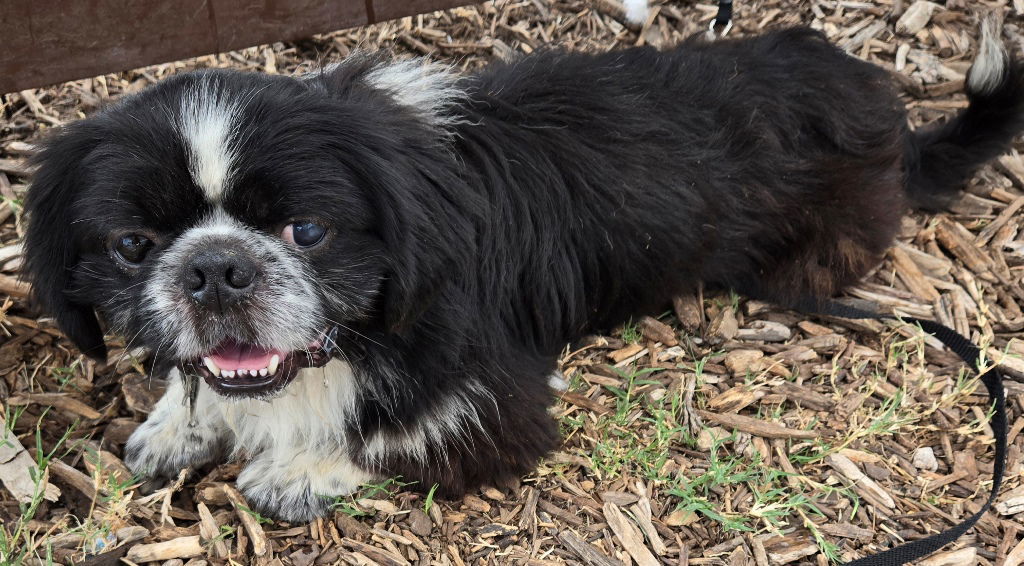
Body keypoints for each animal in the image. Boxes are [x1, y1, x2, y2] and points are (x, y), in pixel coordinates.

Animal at [24, 19, 1024, 517]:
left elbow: (393, 434)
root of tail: (883, 108)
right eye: (132, 246)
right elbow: (204, 389)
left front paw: (300, 468)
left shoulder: (493, 398)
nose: (218, 269)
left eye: (308, 230)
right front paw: (180, 420)